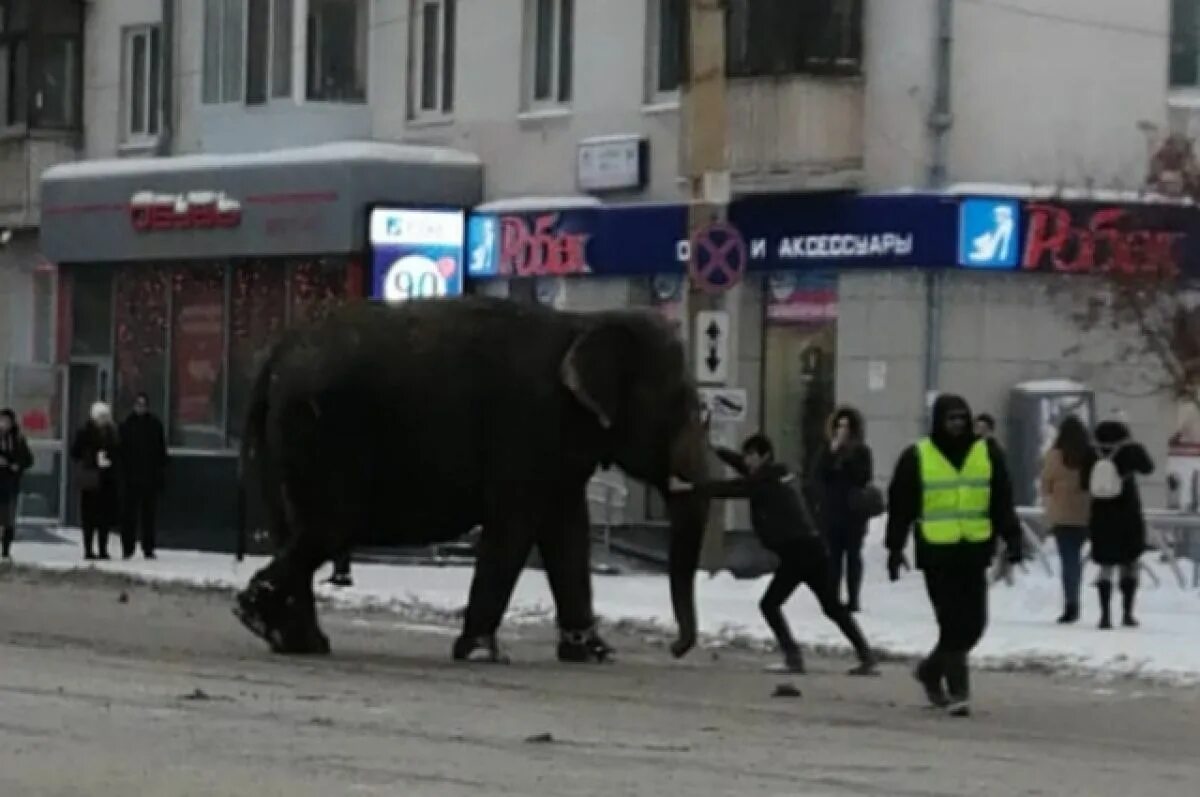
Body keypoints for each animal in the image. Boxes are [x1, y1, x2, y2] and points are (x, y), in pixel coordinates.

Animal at [234, 295, 710, 662]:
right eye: (683, 408)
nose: (676, 648)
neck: (586, 322)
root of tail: (272, 358)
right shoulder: (526, 426)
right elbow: (515, 526)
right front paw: (483, 654)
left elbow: (568, 532)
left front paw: (594, 655)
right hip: (322, 431)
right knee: (329, 525)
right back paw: (255, 615)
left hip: (286, 439)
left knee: (297, 528)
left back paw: (296, 642)